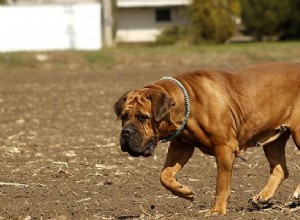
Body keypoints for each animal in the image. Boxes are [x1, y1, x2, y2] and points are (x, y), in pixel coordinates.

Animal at [113, 62, 298, 217]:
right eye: (123, 116)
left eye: (143, 117)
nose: (126, 132)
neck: (186, 104)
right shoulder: (181, 146)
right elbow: (164, 175)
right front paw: (183, 190)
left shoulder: (224, 148)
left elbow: (221, 184)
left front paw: (217, 211)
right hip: (274, 141)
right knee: (280, 169)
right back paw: (262, 196)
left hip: (298, 133)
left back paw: (295, 195)